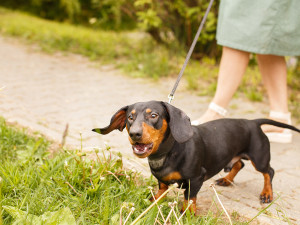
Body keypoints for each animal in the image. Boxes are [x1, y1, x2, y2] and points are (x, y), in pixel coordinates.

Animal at [92, 101, 298, 214]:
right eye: (130, 118)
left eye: (154, 115)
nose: (134, 134)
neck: (167, 152)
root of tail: (253, 122)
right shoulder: (162, 181)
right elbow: (160, 191)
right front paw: (151, 202)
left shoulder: (196, 178)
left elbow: (189, 199)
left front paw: (187, 214)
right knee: (239, 164)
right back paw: (226, 179)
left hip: (259, 157)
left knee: (269, 171)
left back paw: (267, 193)